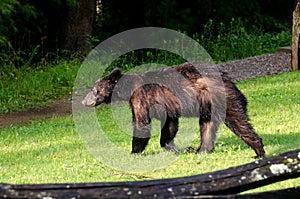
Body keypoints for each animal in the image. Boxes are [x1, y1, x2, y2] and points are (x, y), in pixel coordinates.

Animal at [81, 62, 264, 159]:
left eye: (95, 90)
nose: (84, 101)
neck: (128, 88)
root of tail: (229, 80)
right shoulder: (167, 107)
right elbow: (169, 125)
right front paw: (172, 147)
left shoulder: (140, 97)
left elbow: (142, 124)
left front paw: (133, 152)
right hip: (208, 107)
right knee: (207, 126)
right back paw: (200, 149)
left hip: (222, 99)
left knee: (238, 121)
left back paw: (258, 150)